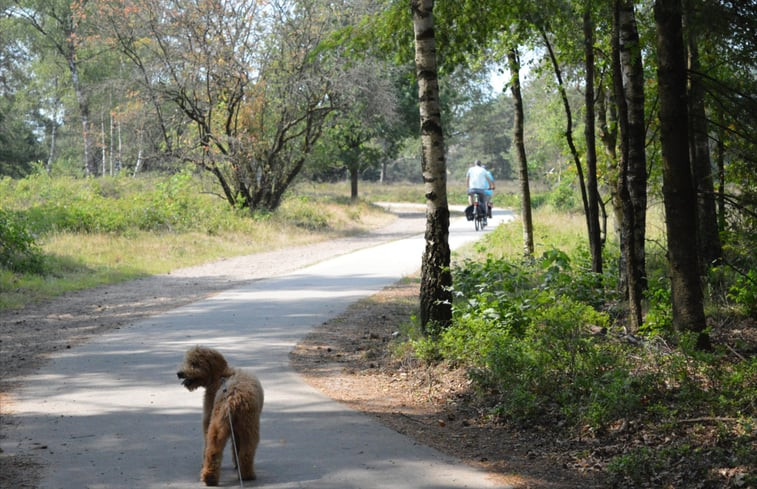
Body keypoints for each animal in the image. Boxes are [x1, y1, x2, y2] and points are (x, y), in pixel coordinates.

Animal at [176, 346, 264, 486]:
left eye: (195, 363)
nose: (179, 373)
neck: (220, 376)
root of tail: (234, 398)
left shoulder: (208, 415)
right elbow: (236, 447)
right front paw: (236, 465)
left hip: (221, 423)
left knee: (214, 449)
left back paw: (210, 476)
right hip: (247, 427)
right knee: (246, 451)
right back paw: (245, 475)